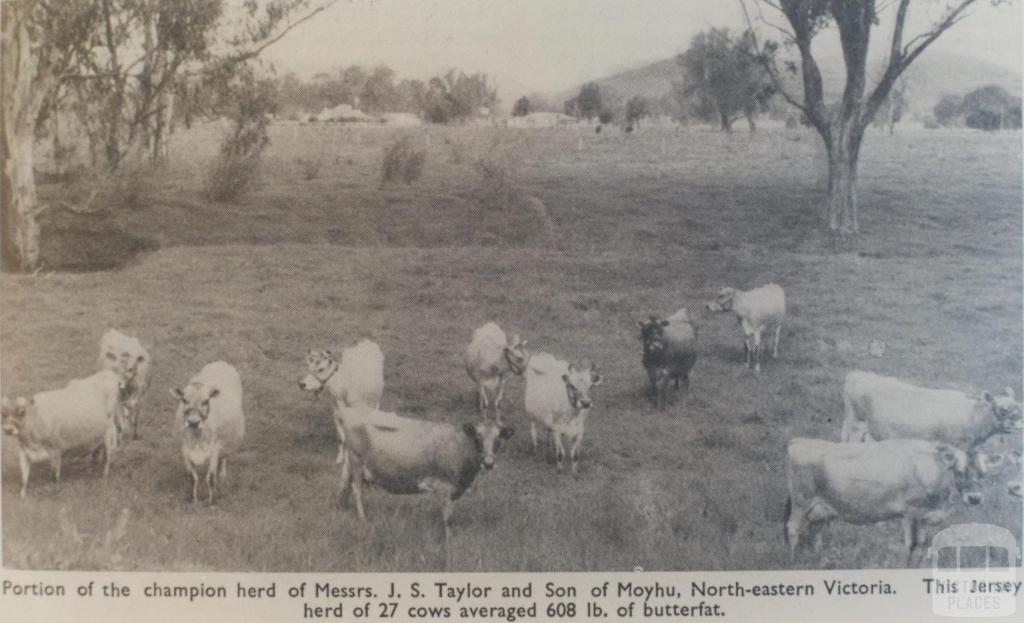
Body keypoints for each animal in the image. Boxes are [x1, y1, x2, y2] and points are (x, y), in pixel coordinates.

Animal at [172, 362, 245, 504]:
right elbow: (192, 478)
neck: (197, 438)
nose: (193, 422)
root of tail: (221, 362)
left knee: (223, 458)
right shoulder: (185, 450)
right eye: (184, 400)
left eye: (206, 401)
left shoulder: (214, 449)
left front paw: (211, 501)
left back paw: (222, 474)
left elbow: (210, 478)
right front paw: (194, 500)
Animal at [339, 405, 516, 541]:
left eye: (498, 441)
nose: (489, 463)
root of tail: (349, 411)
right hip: (356, 461)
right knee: (357, 490)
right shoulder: (444, 486)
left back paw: (343, 507)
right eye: (478, 440)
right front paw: (448, 538)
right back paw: (362, 519)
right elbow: (447, 517)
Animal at [782, 436, 983, 565]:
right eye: (960, 471)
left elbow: (921, 545)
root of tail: (798, 442)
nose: (974, 498)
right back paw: (792, 561)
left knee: (816, 532)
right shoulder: (911, 512)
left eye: (984, 473)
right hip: (801, 500)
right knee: (793, 529)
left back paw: (817, 559)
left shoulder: (925, 517)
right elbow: (911, 545)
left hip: (822, 508)